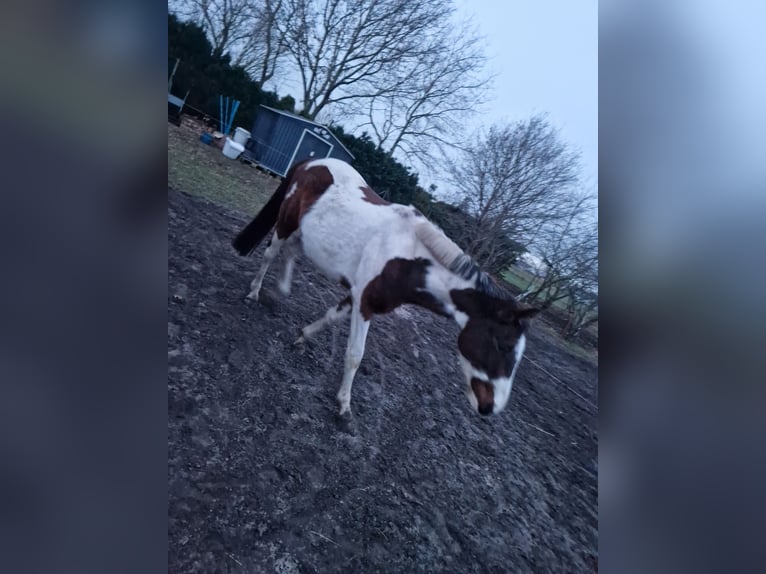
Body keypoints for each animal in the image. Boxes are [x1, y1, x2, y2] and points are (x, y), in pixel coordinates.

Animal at [234, 159, 540, 418]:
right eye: (502, 345)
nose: (490, 408)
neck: (407, 258)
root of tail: (311, 162)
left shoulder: (357, 296)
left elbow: (331, 317)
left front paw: (302, 336)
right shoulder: (365, 304)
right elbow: (355, 355)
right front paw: (344, 405)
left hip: (304, 234)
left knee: (291, 253)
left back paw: (281, 290)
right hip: (286, 224)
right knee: (271, 254)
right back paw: (254, 292)